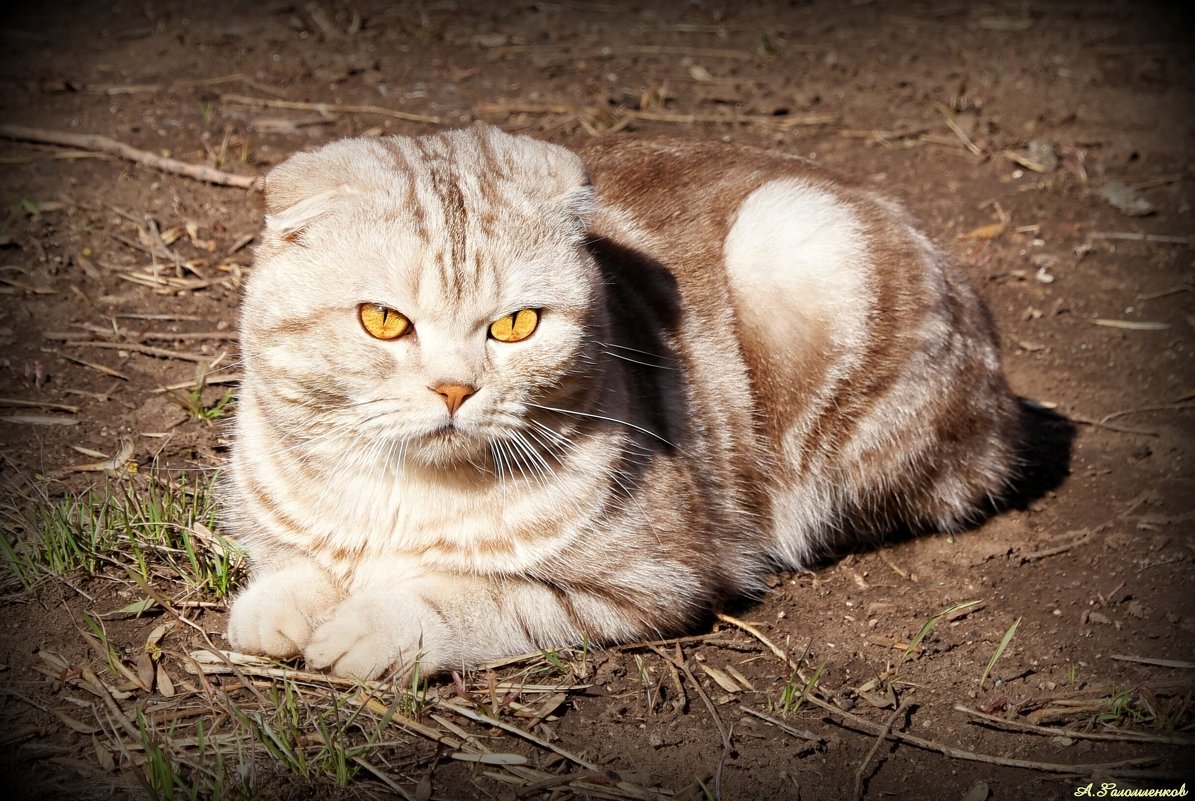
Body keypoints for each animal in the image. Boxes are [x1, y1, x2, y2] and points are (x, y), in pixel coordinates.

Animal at [222, 122, 1018, 679]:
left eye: (516, 325)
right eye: (384, 321)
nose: (454, 388)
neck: (401, 498)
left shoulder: (652, 580)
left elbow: (480, 597)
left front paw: (377, 623)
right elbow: (288, 561)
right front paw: (280, 602)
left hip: (793, 237)